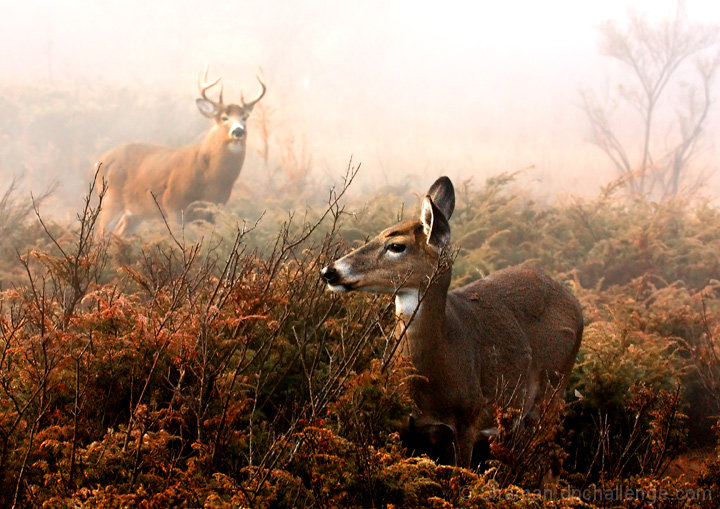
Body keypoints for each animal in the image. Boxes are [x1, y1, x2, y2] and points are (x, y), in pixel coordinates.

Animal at [95, 66, 264, 237]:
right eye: (224, 117)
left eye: (244, 117)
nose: (238, 131)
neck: (209, 177)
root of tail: (101, 160)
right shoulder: (173, 205)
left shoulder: (214, 210)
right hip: (111, 198)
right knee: (100, 234)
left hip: (135, 212)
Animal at [320, 177, 584, 466]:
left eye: (396, 245)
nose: (329, 271)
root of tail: (575, 303)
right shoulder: (401, 426)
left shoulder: (467, 422)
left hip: (553, 391)